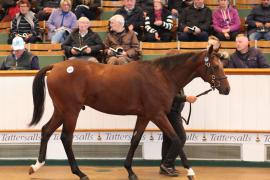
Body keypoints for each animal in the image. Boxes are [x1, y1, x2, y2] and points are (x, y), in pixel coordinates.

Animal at [28, 45, 230, 180]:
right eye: (215, 66)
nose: (227, 89)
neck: (162, 75)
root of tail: (55, 67)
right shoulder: (157, 115)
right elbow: (176, 138)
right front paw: (190, 171)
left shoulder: (144, 116)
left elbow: (135, 140)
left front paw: (130, 171)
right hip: (71, 111)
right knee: (66, 138)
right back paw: (80, 173)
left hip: (61, 110)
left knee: (46, 130)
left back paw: (36, 165)